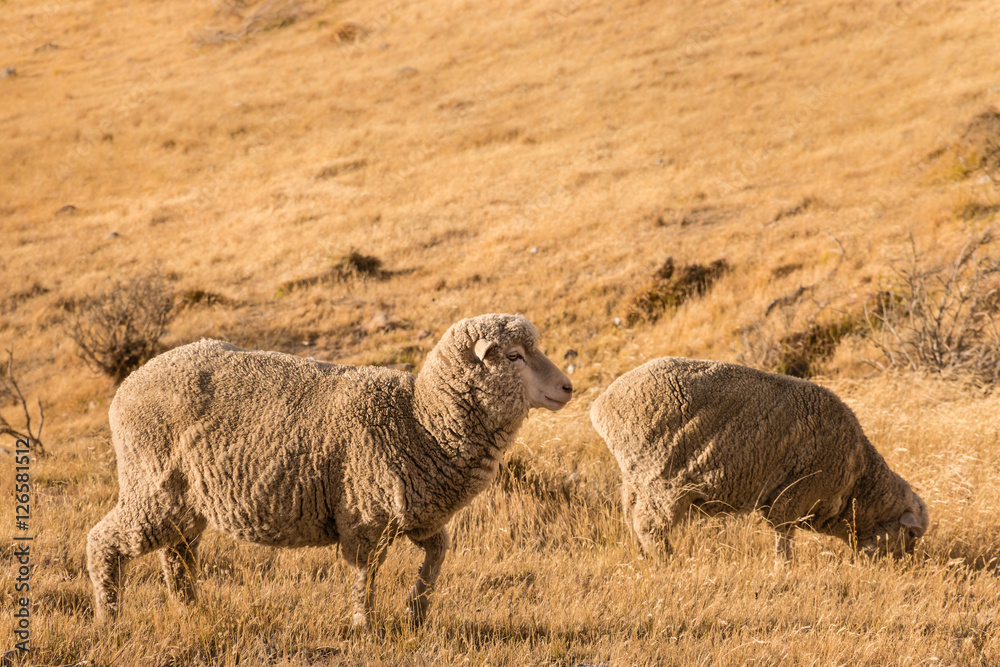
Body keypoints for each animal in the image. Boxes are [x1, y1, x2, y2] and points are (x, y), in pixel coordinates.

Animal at [87, 313, 573, 628]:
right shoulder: (365, 516)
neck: (420, 420)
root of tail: (128, 384)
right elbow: (366, 575)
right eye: (514, 356)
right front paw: (365, 625)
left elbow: (438, 554)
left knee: (177, 556)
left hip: (185, 502)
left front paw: (417, 610)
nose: (568, 386)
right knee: (103, 541)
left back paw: (192, 613)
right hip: (152, 487)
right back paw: (110, 619)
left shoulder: (416, 514)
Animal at [590, 357, 928, 561]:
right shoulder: (793, 495)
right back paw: (669, 561)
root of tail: (602, 403)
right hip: (661, 477)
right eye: (910, 535)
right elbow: (783, 536)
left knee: (629, 515)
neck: (858, 480)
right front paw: (784, 569)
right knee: (648, 525)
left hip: (635, 474)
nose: (903, 567)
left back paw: (642, 556)